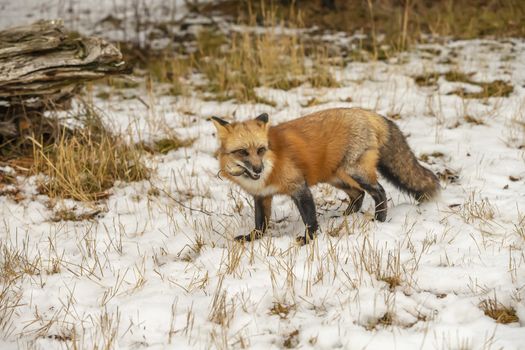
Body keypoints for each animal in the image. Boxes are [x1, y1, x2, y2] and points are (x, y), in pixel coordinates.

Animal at [210, 108, 438, 245]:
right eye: (242, 152)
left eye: (260, 150)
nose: (258, 169)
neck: (272, 161)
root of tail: (368, 112)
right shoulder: (262, 196)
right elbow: (261, 223)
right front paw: (252, 238)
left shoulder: (299, 188)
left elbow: (309, 218)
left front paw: (308, 239)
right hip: (335, 177)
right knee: (358, 194)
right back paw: (346, 216)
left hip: (354, 172)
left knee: (378, 191)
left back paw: (379, 220)